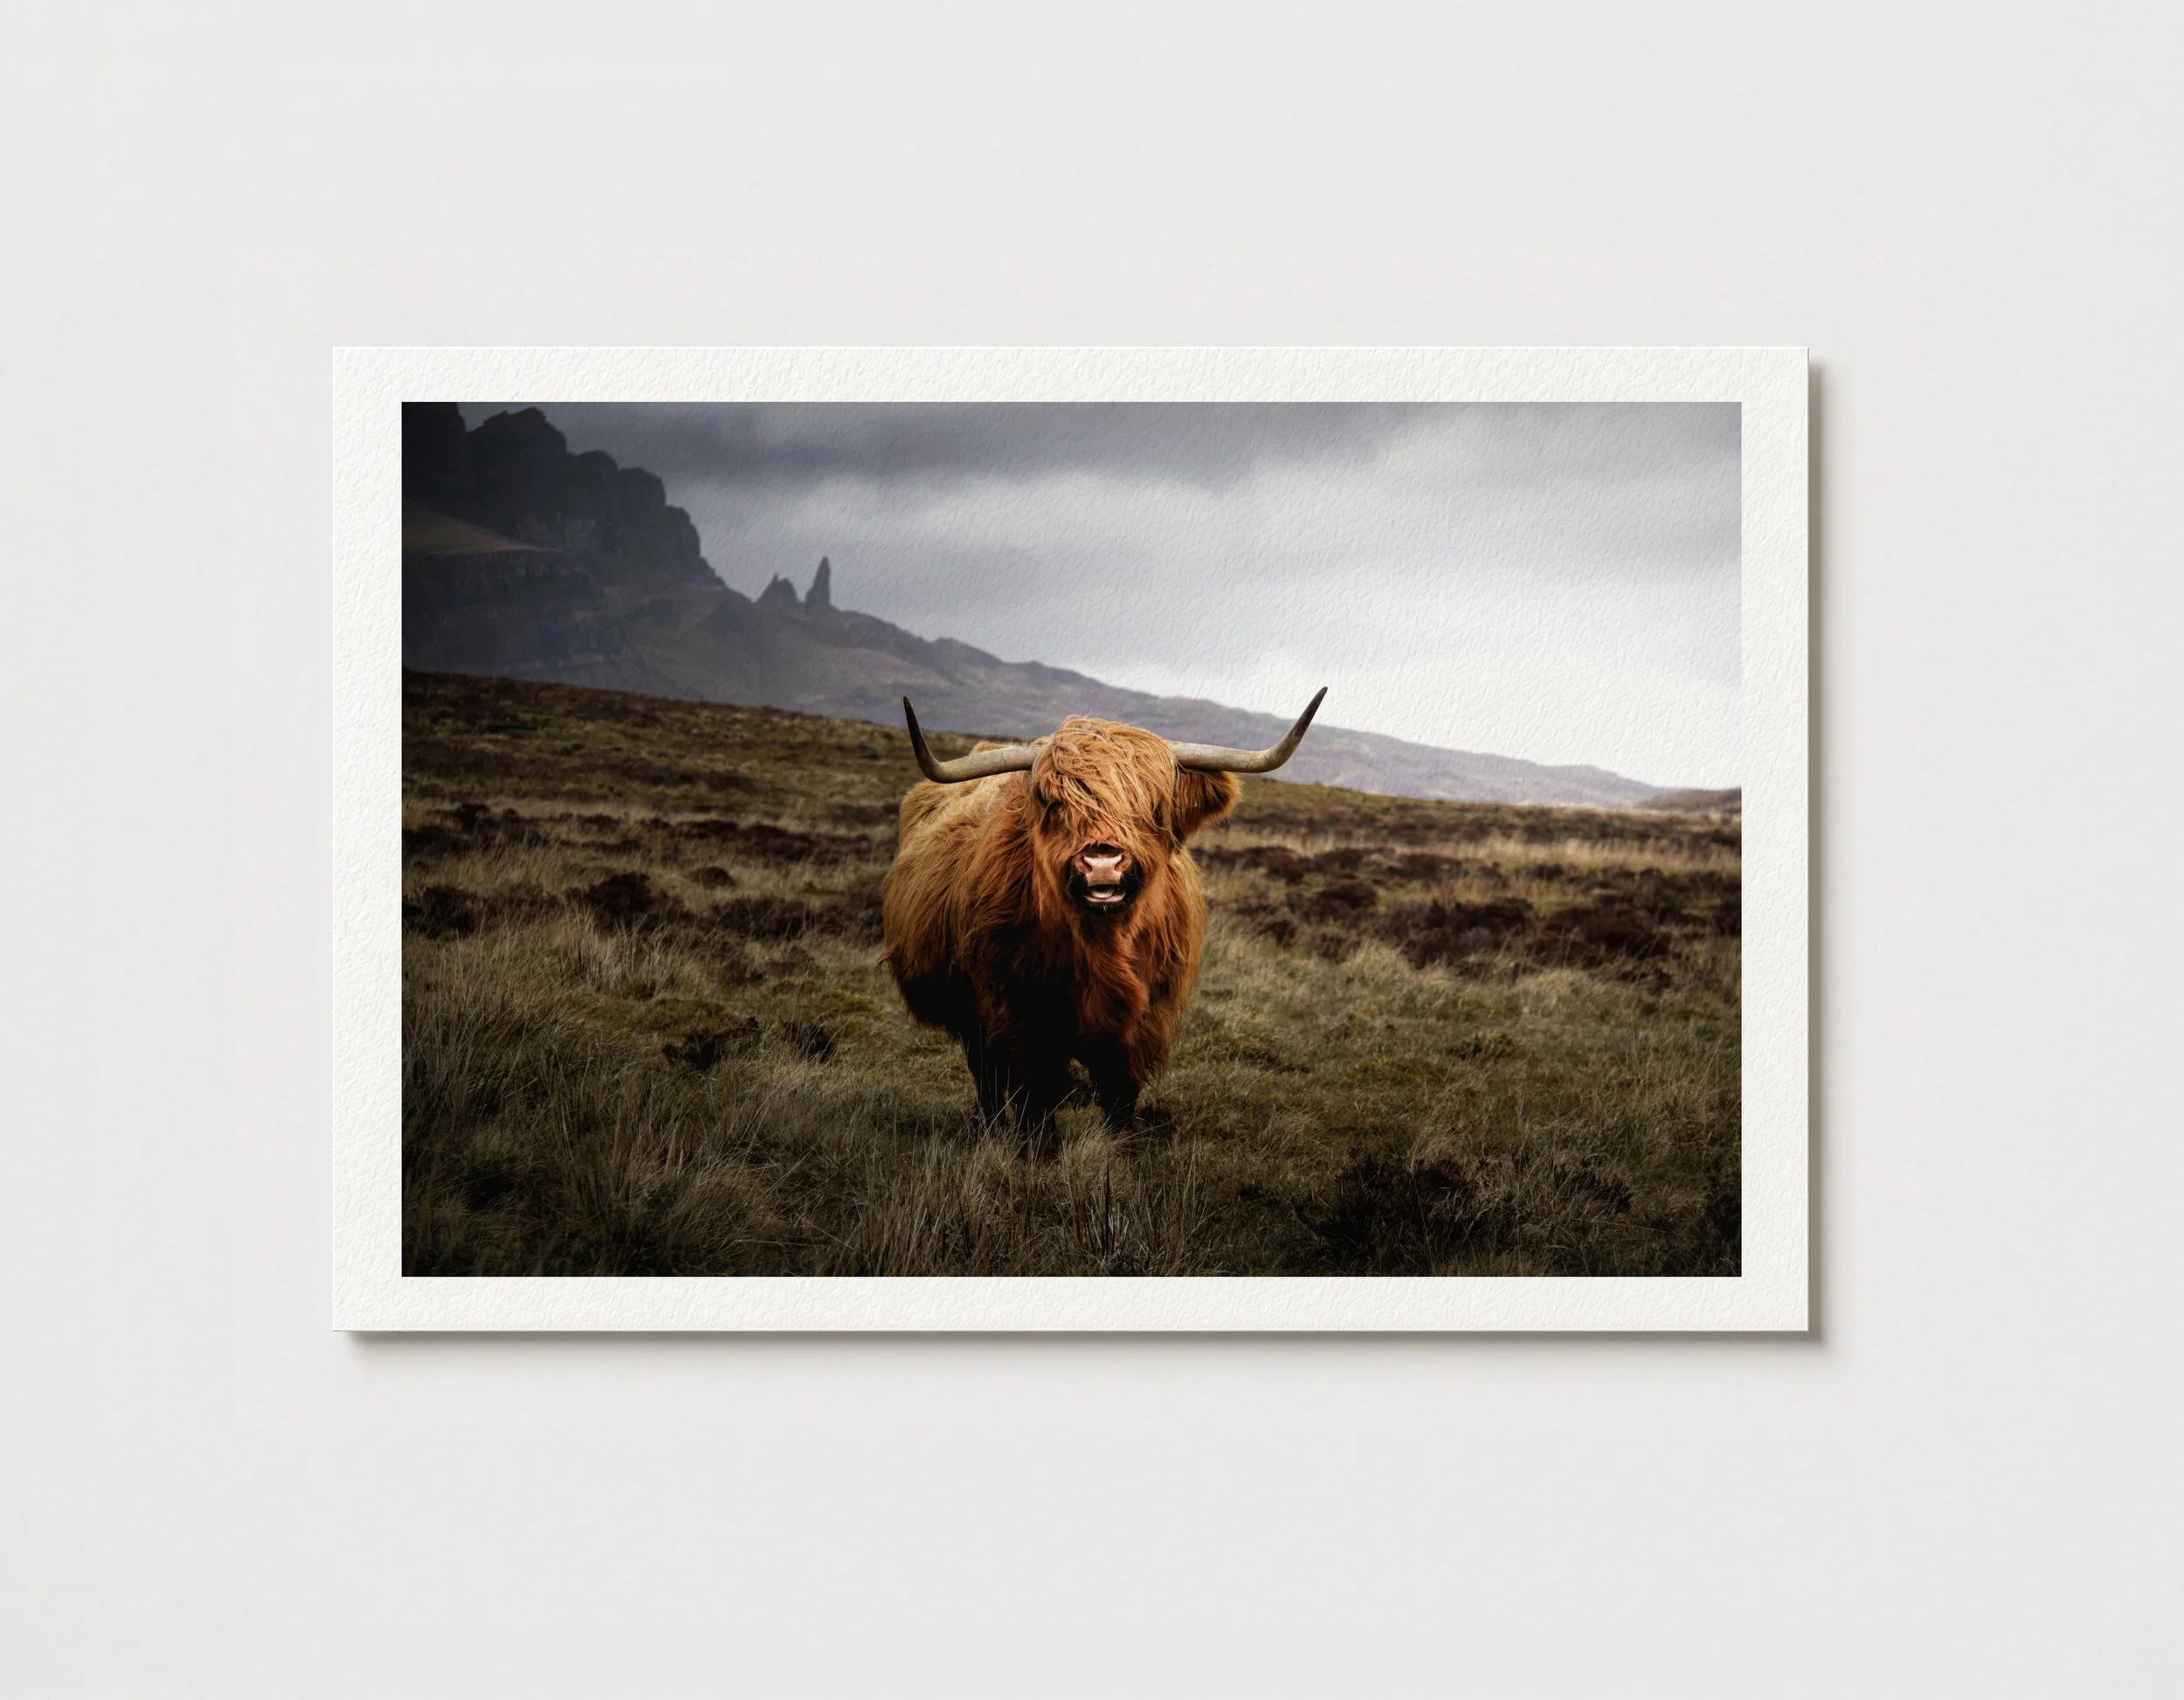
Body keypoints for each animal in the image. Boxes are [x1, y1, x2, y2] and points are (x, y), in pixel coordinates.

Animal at [881, 690, 1325, 1154]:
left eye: (1152, 806)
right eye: (1055, 802)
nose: (1103, 863)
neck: (1101, 944)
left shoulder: (1143, 1021)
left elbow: (1119, 1092)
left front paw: (1121, 1153)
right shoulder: (1016, 1009)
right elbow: (1034, 1093)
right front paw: (1038, 1155)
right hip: (968, 1007)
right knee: (986, 1074)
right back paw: (989, 1132)